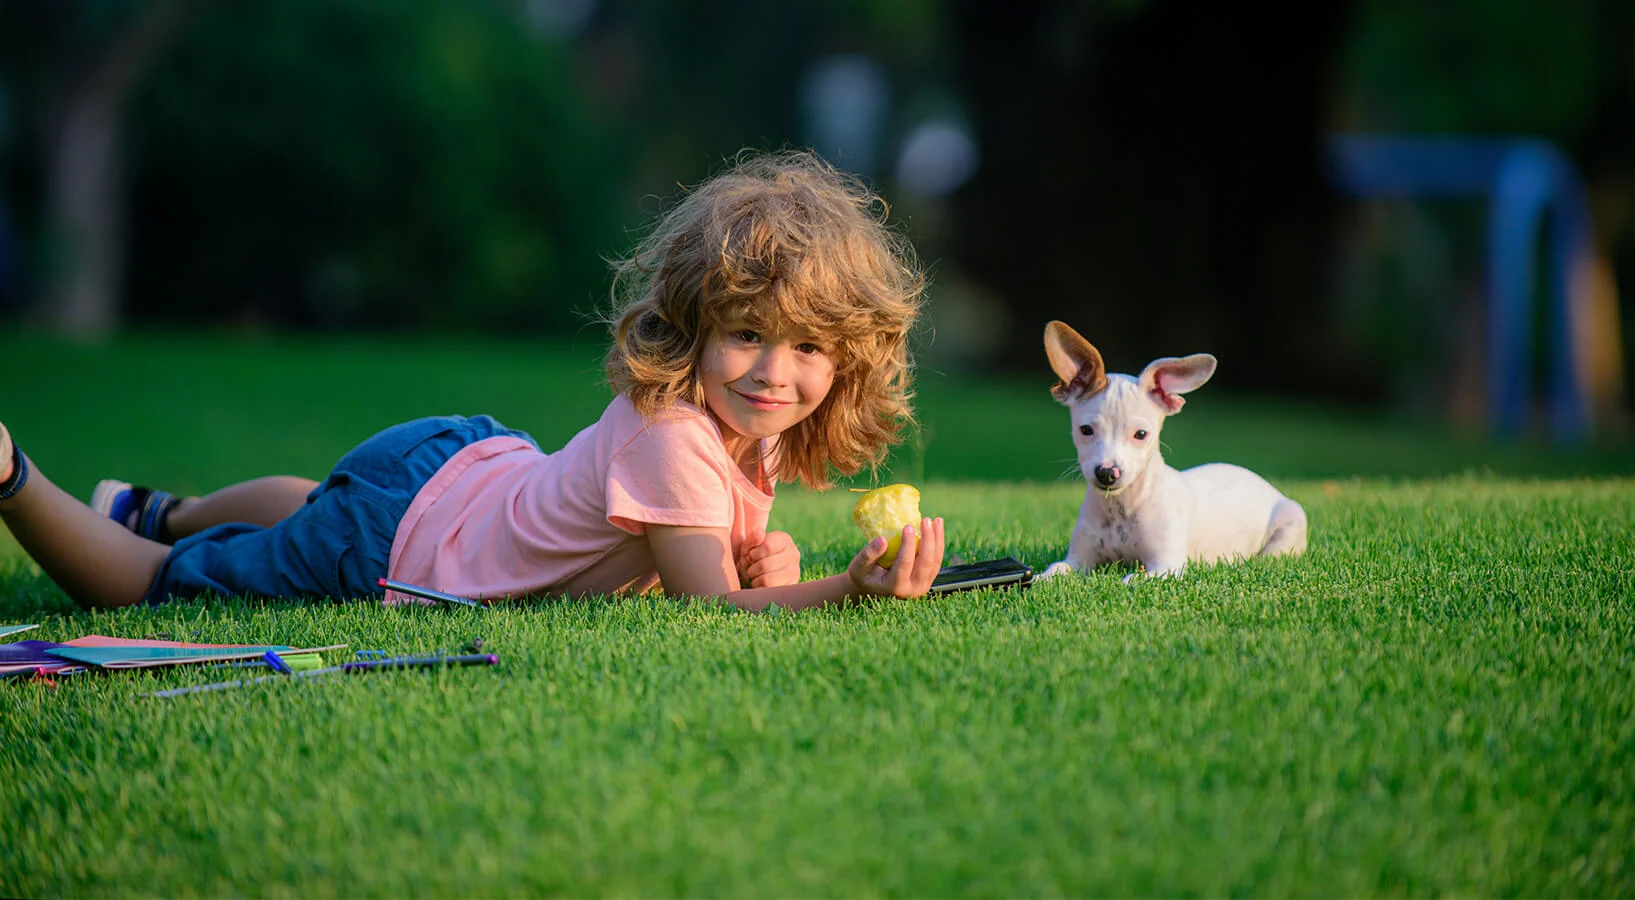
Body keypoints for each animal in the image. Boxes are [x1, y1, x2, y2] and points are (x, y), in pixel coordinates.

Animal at [1039, 320, 1308, 582]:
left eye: (1141, 434)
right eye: (1085, 430)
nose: (1107, 473)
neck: (1122, 508)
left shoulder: (1165, 566)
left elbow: (1132, 579)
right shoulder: (1077, 560)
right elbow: (1056, 569)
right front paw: (1042, 578)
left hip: (1291, 523)